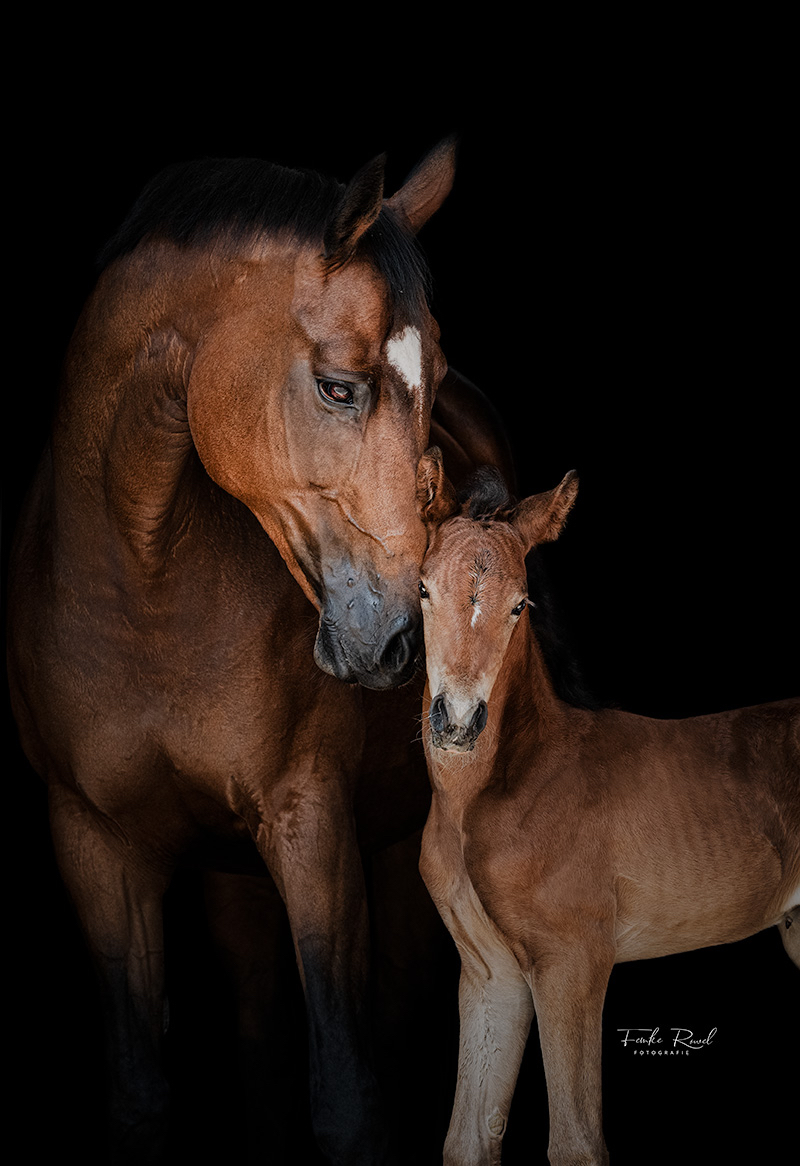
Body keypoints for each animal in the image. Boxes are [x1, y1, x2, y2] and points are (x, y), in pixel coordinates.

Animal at [4, 145, 520, 1166]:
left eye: (434, 379)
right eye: (337, 385)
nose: (401, 641)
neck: (145, 592)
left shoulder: (311, 825)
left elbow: (349, 1095)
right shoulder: (91, 841)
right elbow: (142, 1095)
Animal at [417, 447, 797, 1166]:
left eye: (520, 606)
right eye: (423, 590)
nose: (455, 722)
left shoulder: (573, 961)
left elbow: (575, 1142)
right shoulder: (489, 974)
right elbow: (466, 1141)